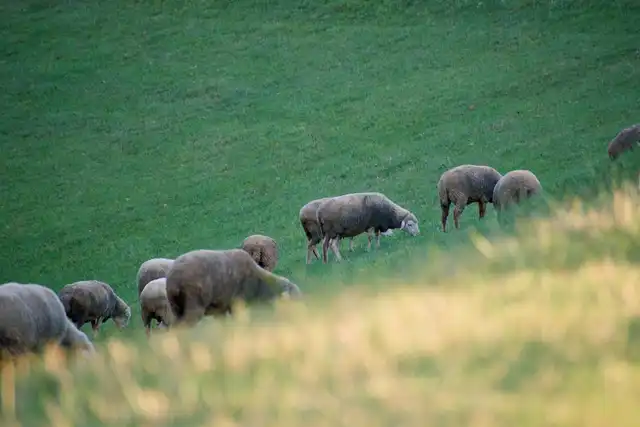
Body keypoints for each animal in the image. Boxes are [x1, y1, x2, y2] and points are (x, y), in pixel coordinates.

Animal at [165, 247, 304, 328]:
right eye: (293, 303)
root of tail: (173, 279)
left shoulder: (220, 309)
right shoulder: (238, 303)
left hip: (175, 307)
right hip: (193, 303)